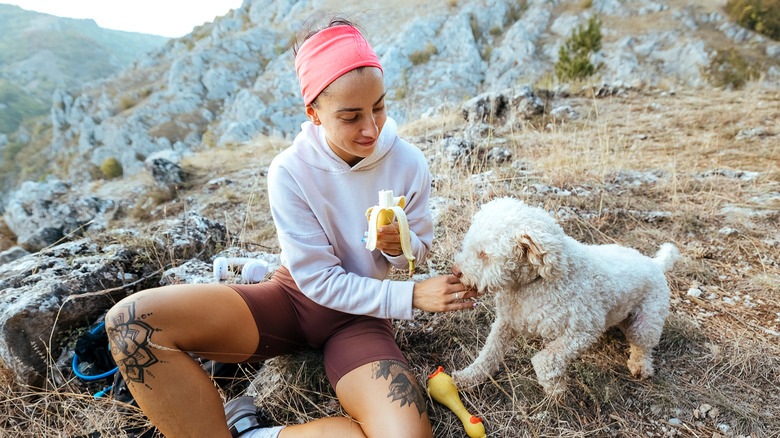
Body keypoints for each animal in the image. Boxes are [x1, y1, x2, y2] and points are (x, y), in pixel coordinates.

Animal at [450, 198, 676, 396]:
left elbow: (545, 359)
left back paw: (641, 367)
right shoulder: (507, 322)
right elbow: (488, 353)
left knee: (642, 347)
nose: (455, 271)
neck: (531, 284)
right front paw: (468, 377)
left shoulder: (581, 332)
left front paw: (555, 388)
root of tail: (656, 263)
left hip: (646, 322)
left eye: (484, 254)